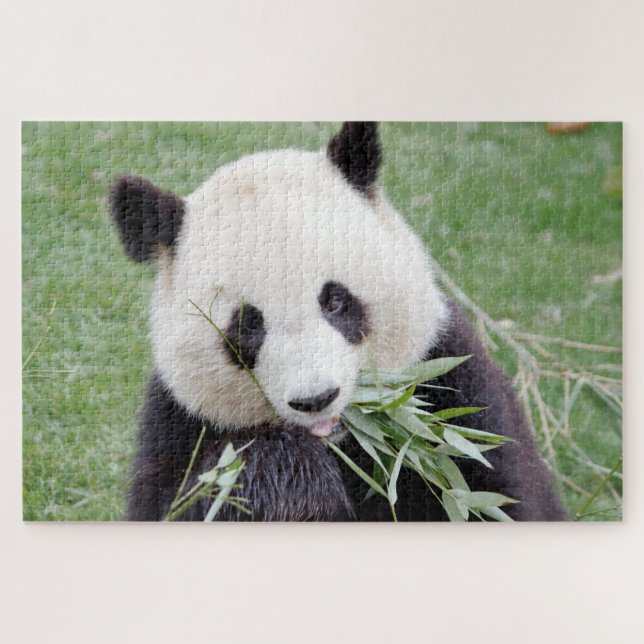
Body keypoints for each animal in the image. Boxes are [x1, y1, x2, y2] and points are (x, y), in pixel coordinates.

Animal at [109, 122, 567, 521]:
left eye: (334, 301)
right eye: (248, 326)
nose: (315, 399)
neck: (344, 444)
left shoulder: (454, 387)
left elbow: (492, 495)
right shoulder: (180, 423)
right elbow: (191, 499)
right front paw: (289, 480)